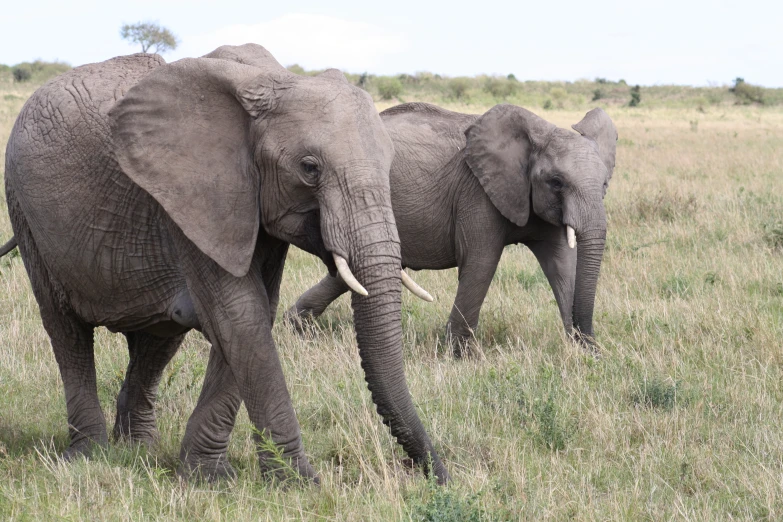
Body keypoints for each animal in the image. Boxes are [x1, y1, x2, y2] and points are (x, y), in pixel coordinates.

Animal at [1, 46, 448, 482]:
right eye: (309, 168)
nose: (434, 474)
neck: (271, 82)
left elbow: (256, 312)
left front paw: (206, 476)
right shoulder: (193, 197)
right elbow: (240, 315)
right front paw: (300, 483)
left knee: (158, 338)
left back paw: (136, 450)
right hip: (24, 210)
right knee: (66, 330)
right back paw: (88, 455)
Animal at [288, 101, 620, 354]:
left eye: (605, 184)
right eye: (557, 182)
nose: (589, 340)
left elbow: (562, 265)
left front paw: (588, 354)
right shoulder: (477, 192)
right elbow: (481, 261)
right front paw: (461, 357)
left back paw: (297, 326)